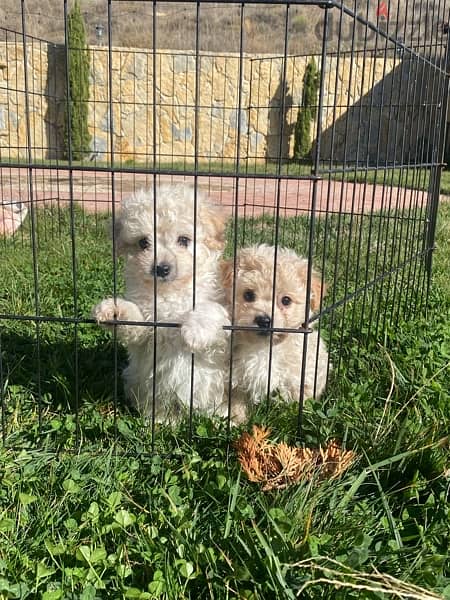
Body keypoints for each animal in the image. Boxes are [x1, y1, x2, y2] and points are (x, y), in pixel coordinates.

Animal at [92, 183, 230, 422]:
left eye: (184, 240)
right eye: (143, 243)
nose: (161, 268)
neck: (169, 293)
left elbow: (210, 310)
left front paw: (195, 329)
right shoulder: (147, 332)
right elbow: (135, 323)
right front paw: (114, 309)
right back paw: (160, 420)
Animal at [222, 244, 330, 422]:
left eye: (286, 300)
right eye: (248, 295)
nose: (264, 320)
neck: (264, 348)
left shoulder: (300, 378)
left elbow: (296, 404)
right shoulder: (235, 380)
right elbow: (236, 402)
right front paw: (237, 421)